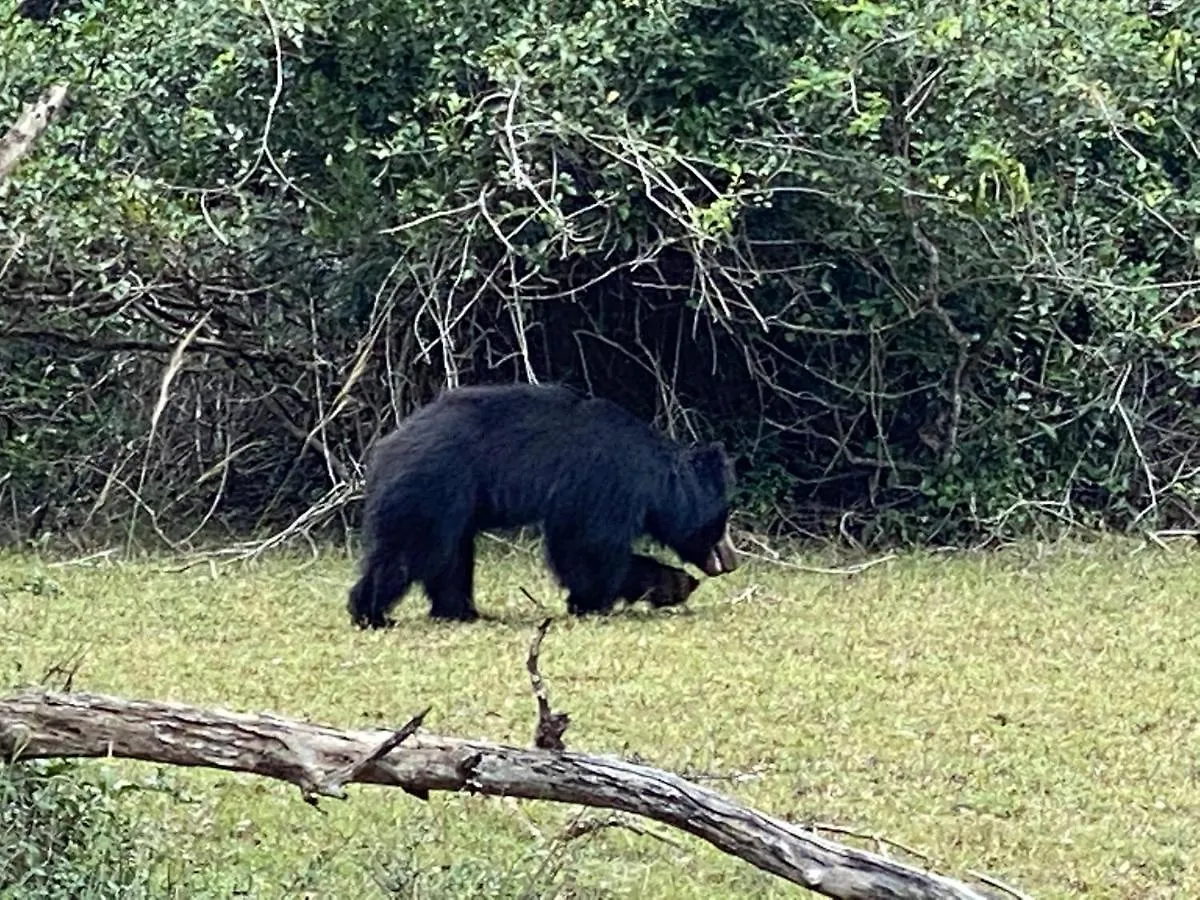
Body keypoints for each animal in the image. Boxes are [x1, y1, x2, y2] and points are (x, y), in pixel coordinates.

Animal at [348, 384, 734, 628]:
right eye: (722, 520)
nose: (731, 561)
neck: (653, 477)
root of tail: (384, 449)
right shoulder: (604, 482)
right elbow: (587, 546)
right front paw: (598, 601)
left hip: (450, 503)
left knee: (451, 558)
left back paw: (460, 611)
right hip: (432, 488)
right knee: (408, 552)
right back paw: (371, 613)